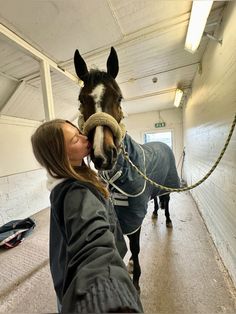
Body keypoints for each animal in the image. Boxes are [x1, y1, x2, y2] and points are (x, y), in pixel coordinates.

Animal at [73, 46, 180, 292]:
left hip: (168, 185)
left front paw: (137, 281)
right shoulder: (121, 215)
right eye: (81, 99)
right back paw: (154, 214)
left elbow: (136, 247)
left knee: (167, 201)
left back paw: (168, 221)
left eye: (119, 97)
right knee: (156, 201)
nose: (103, 154)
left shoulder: (133, 215)